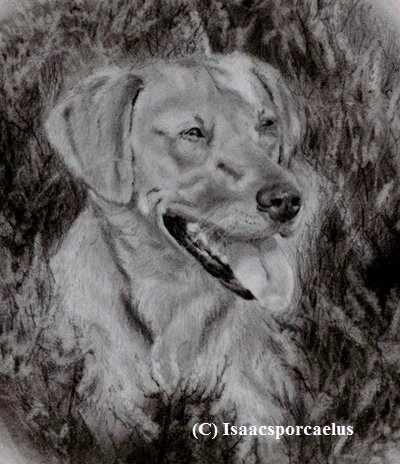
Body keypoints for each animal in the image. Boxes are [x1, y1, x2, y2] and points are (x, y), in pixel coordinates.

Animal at [43, 52, 304, 462]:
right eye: (192, 133)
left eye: (266, 124)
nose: (287, 201)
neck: (172, 296)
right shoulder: (110, 407)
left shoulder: (257, 403)